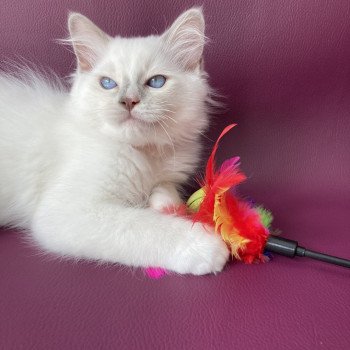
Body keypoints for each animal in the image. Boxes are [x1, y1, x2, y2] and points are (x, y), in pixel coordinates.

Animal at [0, 8, 230, 274]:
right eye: (108, 83)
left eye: (156, 82)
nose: (129, 101)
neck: (144, 154)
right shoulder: (66, 211)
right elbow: (142, 225)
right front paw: (204, 244)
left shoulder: (168, 174)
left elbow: (165, 190)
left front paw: (165, 203)